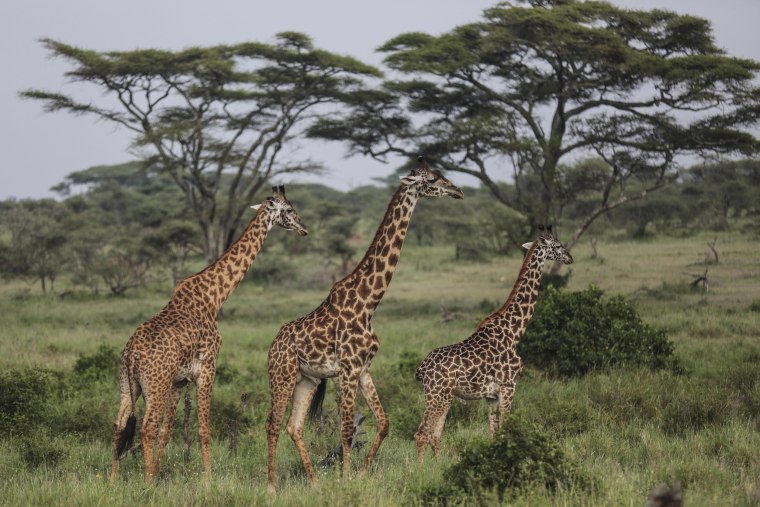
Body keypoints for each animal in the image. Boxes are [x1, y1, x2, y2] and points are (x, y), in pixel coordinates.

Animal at [107, 187, 308, 484]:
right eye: (290, 209)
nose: (304, 228)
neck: (215, 296)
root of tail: (131, 354)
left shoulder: (179, 381)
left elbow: (168, 432)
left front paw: (155, 473)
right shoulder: (207, 368)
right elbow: (203, 429)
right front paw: (208, 479)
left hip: (128, 384)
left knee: (120, 423)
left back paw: (112, 479)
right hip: (155, 384)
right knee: (146, 427)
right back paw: (143, 483)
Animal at [262, 158, 464, 492]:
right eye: (433, 179)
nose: (458, 190)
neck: (369, 303)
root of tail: (273, 344)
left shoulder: (364, 368)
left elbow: (383, 423)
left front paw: (360, 473)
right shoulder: (348, 369)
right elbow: (346, 429)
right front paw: (345, 480)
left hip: (308, 379)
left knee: (294, 426)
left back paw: (314, 482)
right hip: (283, 374)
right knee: (272, 424)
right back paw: (271, 487)